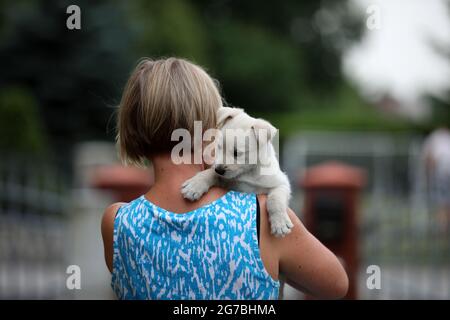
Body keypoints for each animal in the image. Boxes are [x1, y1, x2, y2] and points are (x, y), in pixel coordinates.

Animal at [181, 106, 294, 236]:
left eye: (236, 153)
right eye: (219, 147)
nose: (219, 170)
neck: (248, 173)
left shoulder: (281, 183)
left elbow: (275, 200)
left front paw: (280, 223)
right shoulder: (226, 181)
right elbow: (210, 173)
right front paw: (195, 185)